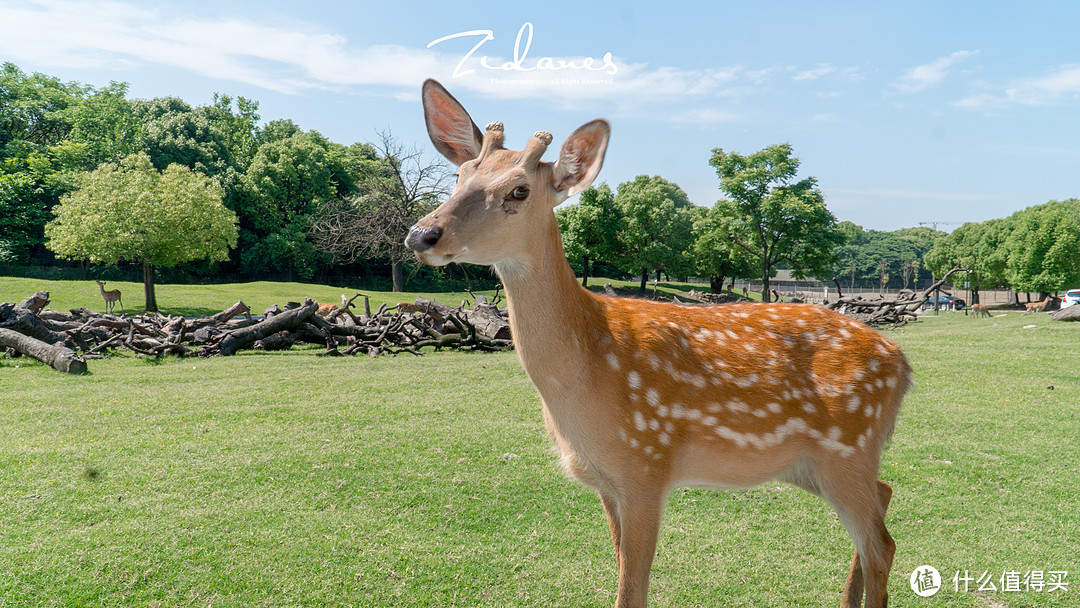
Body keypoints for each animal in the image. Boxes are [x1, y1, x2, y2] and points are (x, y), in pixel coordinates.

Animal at [406, 80, 911, 608]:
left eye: (519, 190)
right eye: (459, 175)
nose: (421, 234)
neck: (584, 371)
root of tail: (903, 364)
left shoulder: (646, 466)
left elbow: (632, 590)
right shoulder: (607, 482)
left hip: (848, 446)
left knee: (882, 543)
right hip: (814, 464)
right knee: (884, 498)